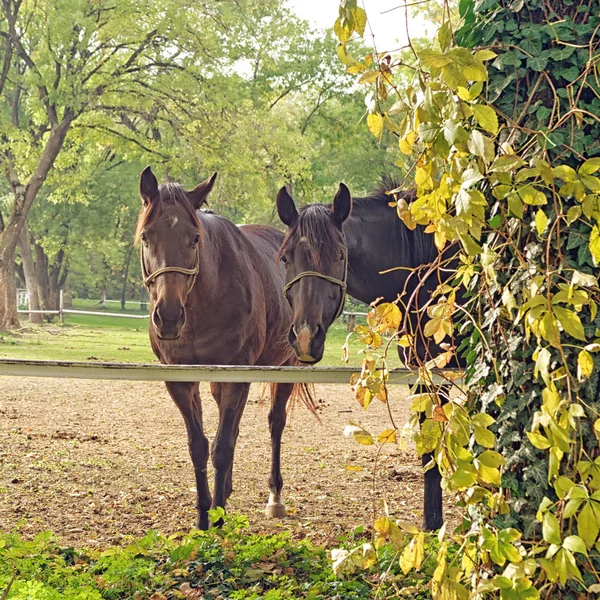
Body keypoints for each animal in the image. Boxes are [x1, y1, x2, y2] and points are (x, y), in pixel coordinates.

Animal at [137, 166, 304, 528]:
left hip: (285, 368)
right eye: (146, 236)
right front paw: (203, 514)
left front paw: (218, 516)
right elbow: (200, 445)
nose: (168, 317)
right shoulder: (180, 379)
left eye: (194, 238)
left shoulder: (237, 375)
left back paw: (274, 498)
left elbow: (223, 445)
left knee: (275, 422)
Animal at [276, 179, 460, 528]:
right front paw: (432, 526)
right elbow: (431, 454)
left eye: (339, 255)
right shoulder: (424, 376)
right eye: (285, 258)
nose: (305, 337)